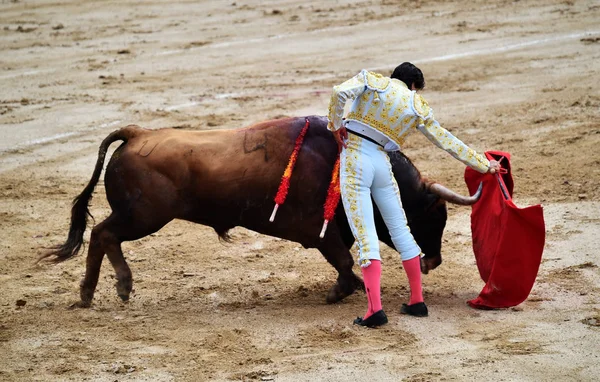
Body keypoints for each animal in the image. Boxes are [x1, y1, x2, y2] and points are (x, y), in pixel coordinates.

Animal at [42, 116, 480, 308]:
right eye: (434, 215)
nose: (432, 262)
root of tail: (137, 134)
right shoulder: (321, 232)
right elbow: (342, 260)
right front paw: (343, 290)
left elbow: (344, 260)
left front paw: (348, 288)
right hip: (144, 216)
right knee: (103, 234)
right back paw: (113, 288)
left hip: (140, 216)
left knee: (101, 235)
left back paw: (93, 294)